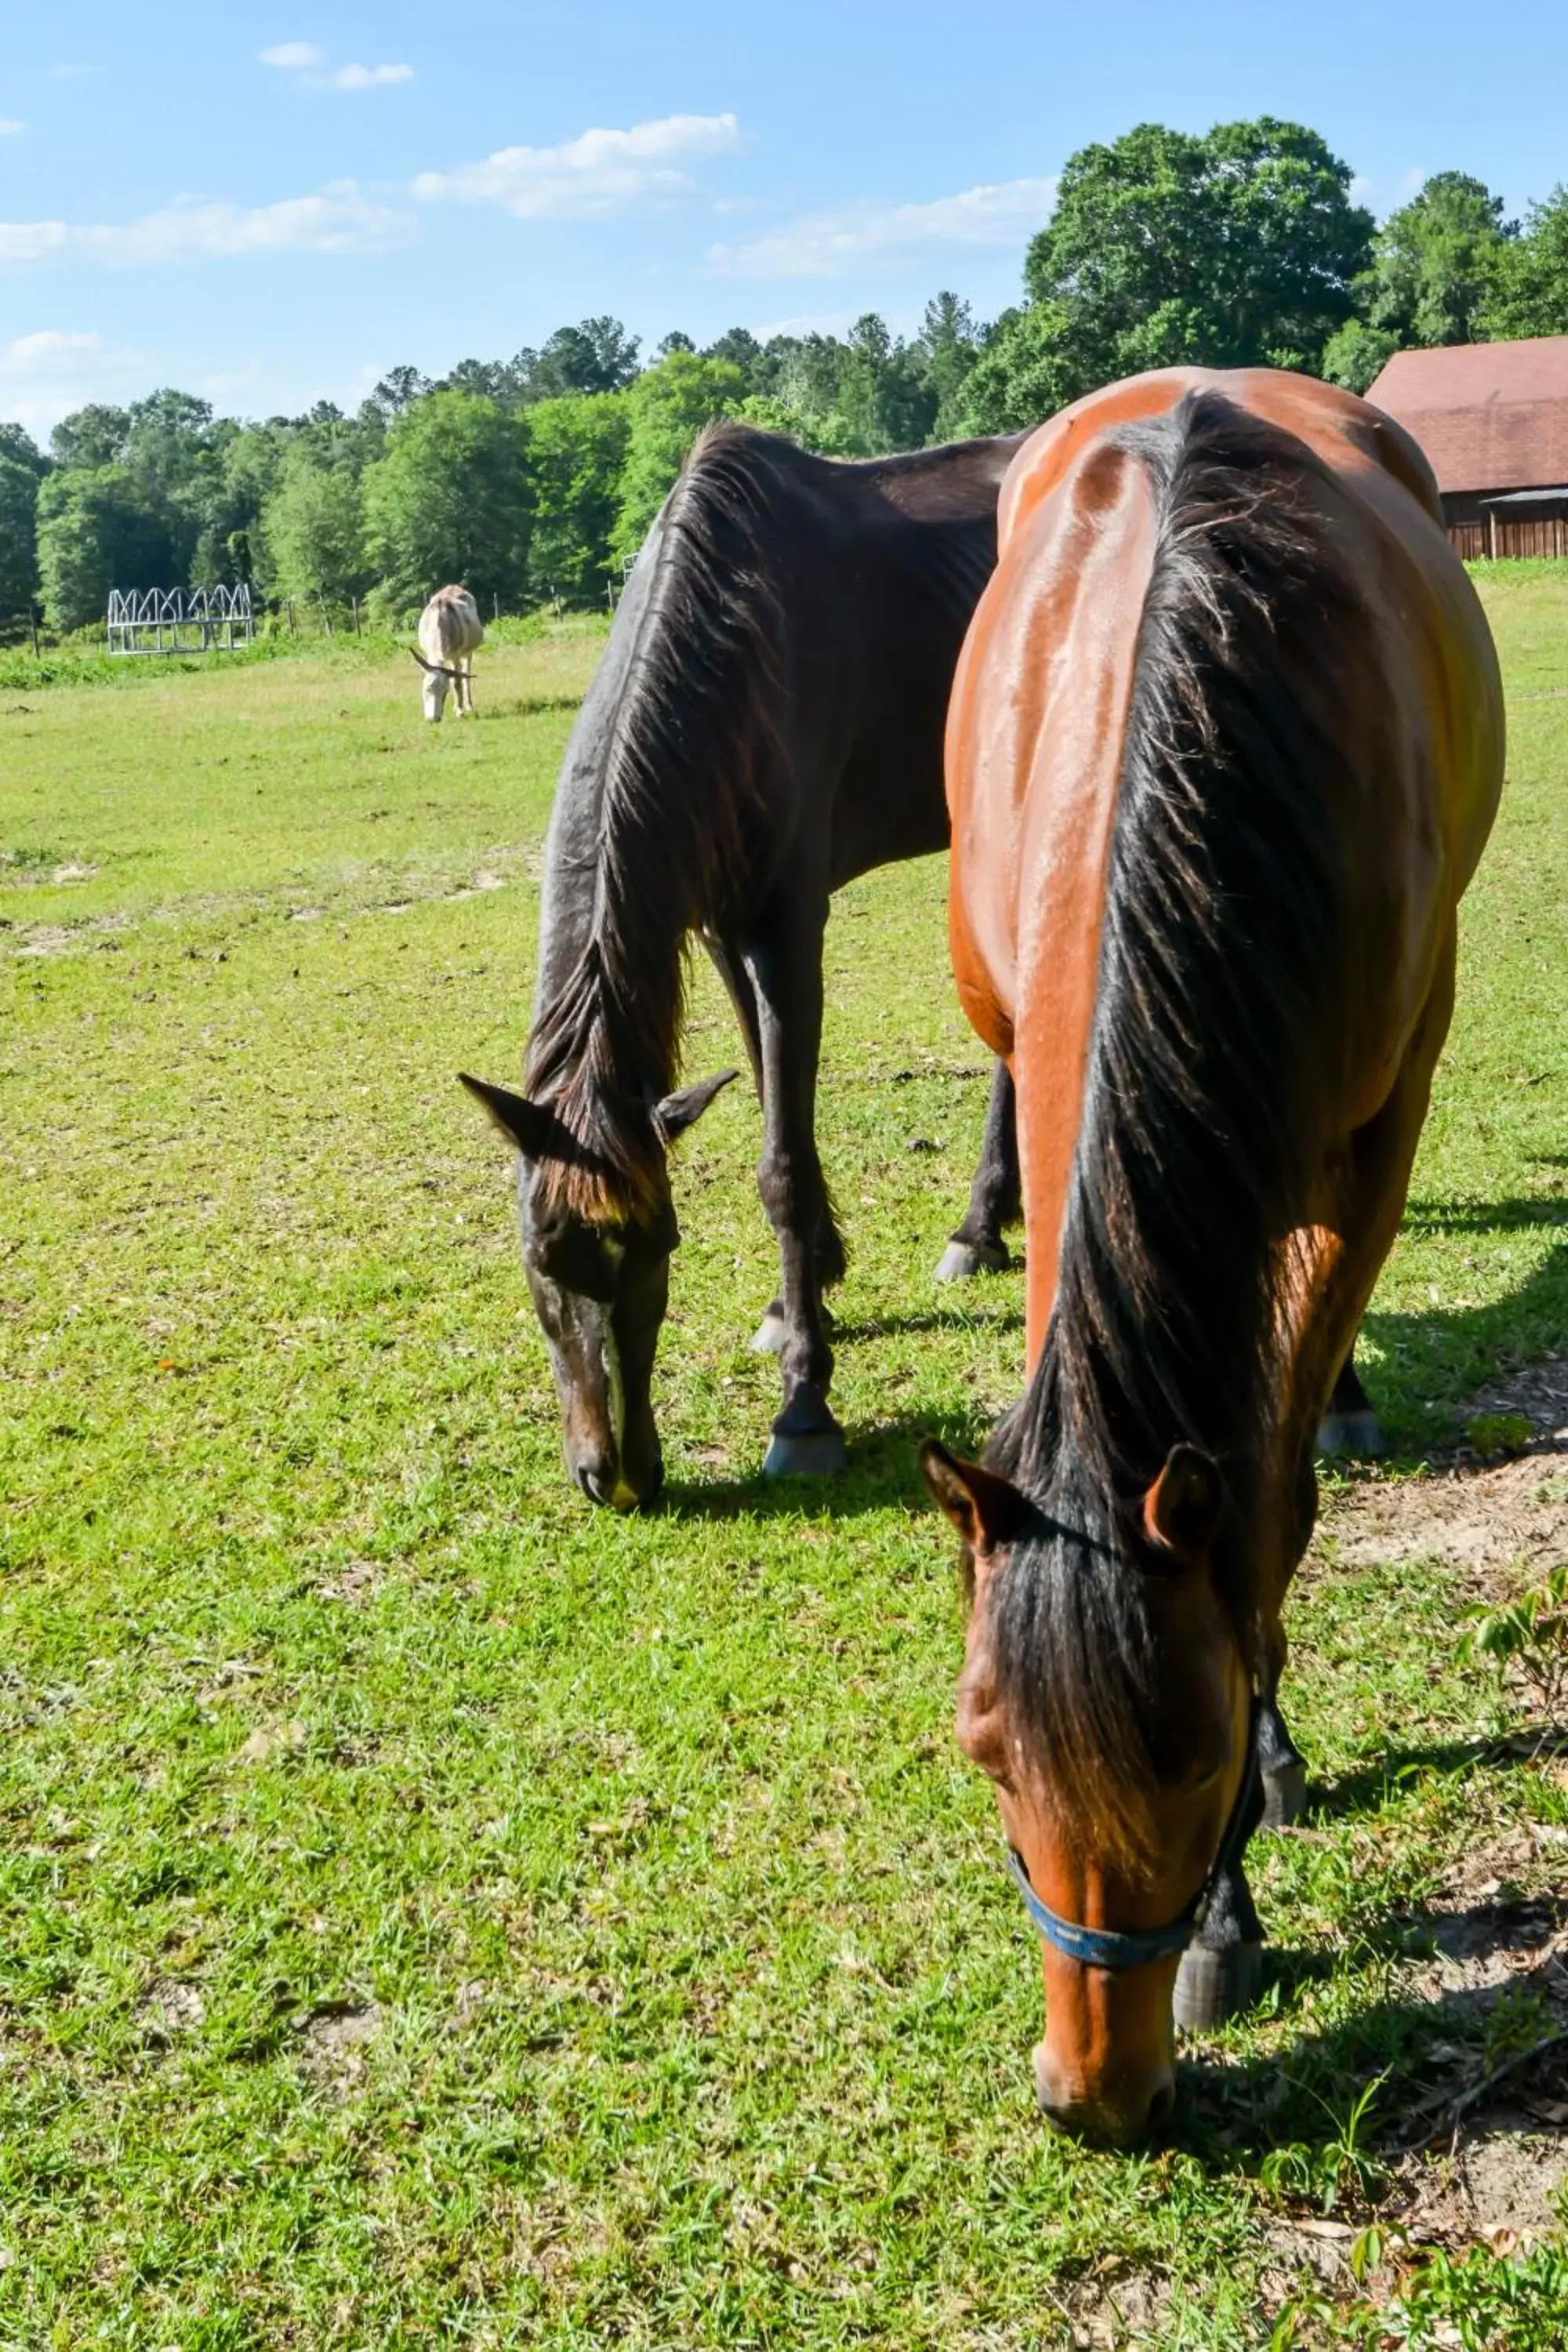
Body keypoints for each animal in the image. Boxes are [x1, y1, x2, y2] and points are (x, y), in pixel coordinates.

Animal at [416, 586, 484, 720]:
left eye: (445, 692)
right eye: (427, 689)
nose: (433, 719)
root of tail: (453, 586)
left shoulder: (455, 656)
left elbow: (456, 683)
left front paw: (460, 711)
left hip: (468, 653)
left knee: (465, 676)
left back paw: (468, 706)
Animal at [465, 419, 1029, 1505]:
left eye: (661, 1247)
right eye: (540, 1257)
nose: (618, 1476)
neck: (730, 638)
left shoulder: (787, 924)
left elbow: (781, 1165)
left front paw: (806, 1405)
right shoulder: (726, 929)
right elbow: (774, 1103)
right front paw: (804, 1294)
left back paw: (979, 1223)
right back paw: (984, 1225)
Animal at [921, 372, 1504, 2154]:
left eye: (1194, 1762)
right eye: (983, 1750)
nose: (1092, 2100)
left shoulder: (1375, 1131)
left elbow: (1268, 1511)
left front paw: (1238, 1900)